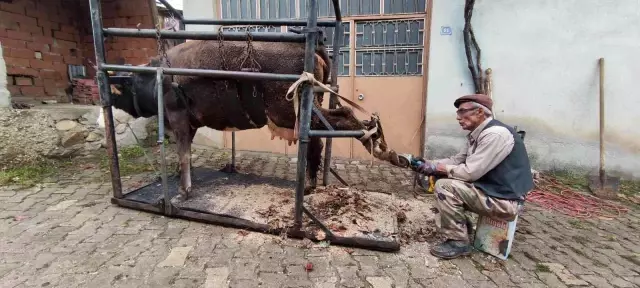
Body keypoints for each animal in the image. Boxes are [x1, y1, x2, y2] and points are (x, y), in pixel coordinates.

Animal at [107, 33, 402, 198]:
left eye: (123, 88)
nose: (108, 99)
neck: (156, 79)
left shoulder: (178, 117)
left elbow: (183, 154)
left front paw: (183, 191)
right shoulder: (190, 124)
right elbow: (186, 152)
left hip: (289, 111)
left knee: (335, 122)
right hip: (310, 106)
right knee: (328, 129)